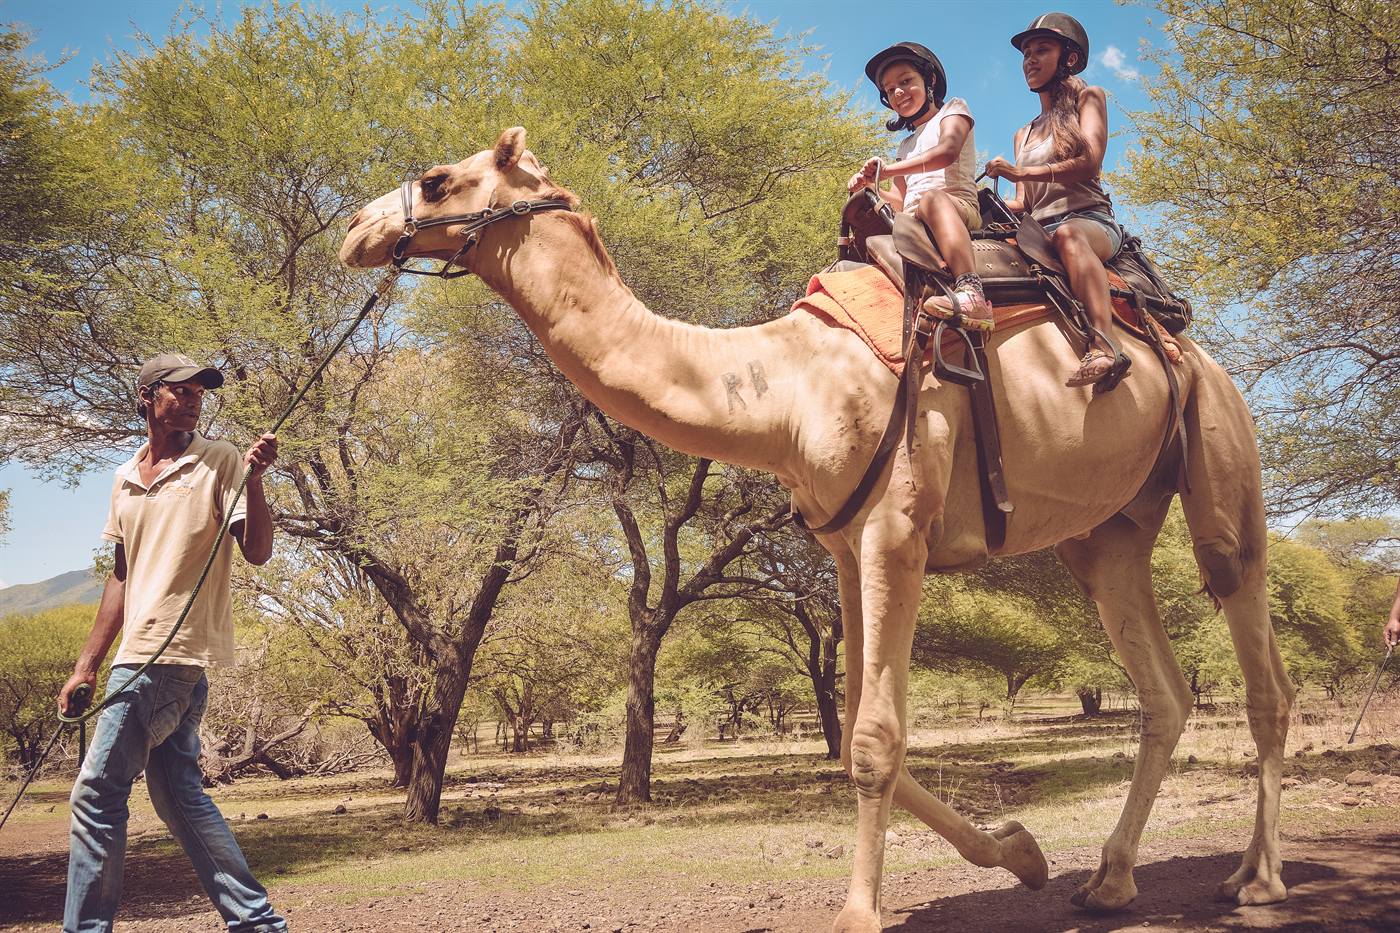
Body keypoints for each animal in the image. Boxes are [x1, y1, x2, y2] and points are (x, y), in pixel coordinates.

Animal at [340, 128, 1293, 931]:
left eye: (439, 178)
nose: (355, 228)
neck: (789, 385)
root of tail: (1185, 341)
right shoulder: (843, 546)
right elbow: (861, 741)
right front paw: (1021, 852)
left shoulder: (897, 530)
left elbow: (872, 740)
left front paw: (860, 912)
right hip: (1107, 532)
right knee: (1162, 688)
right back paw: (1110, 879)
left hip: (1219, 454)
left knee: (1256, 651)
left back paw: (1257, 880)